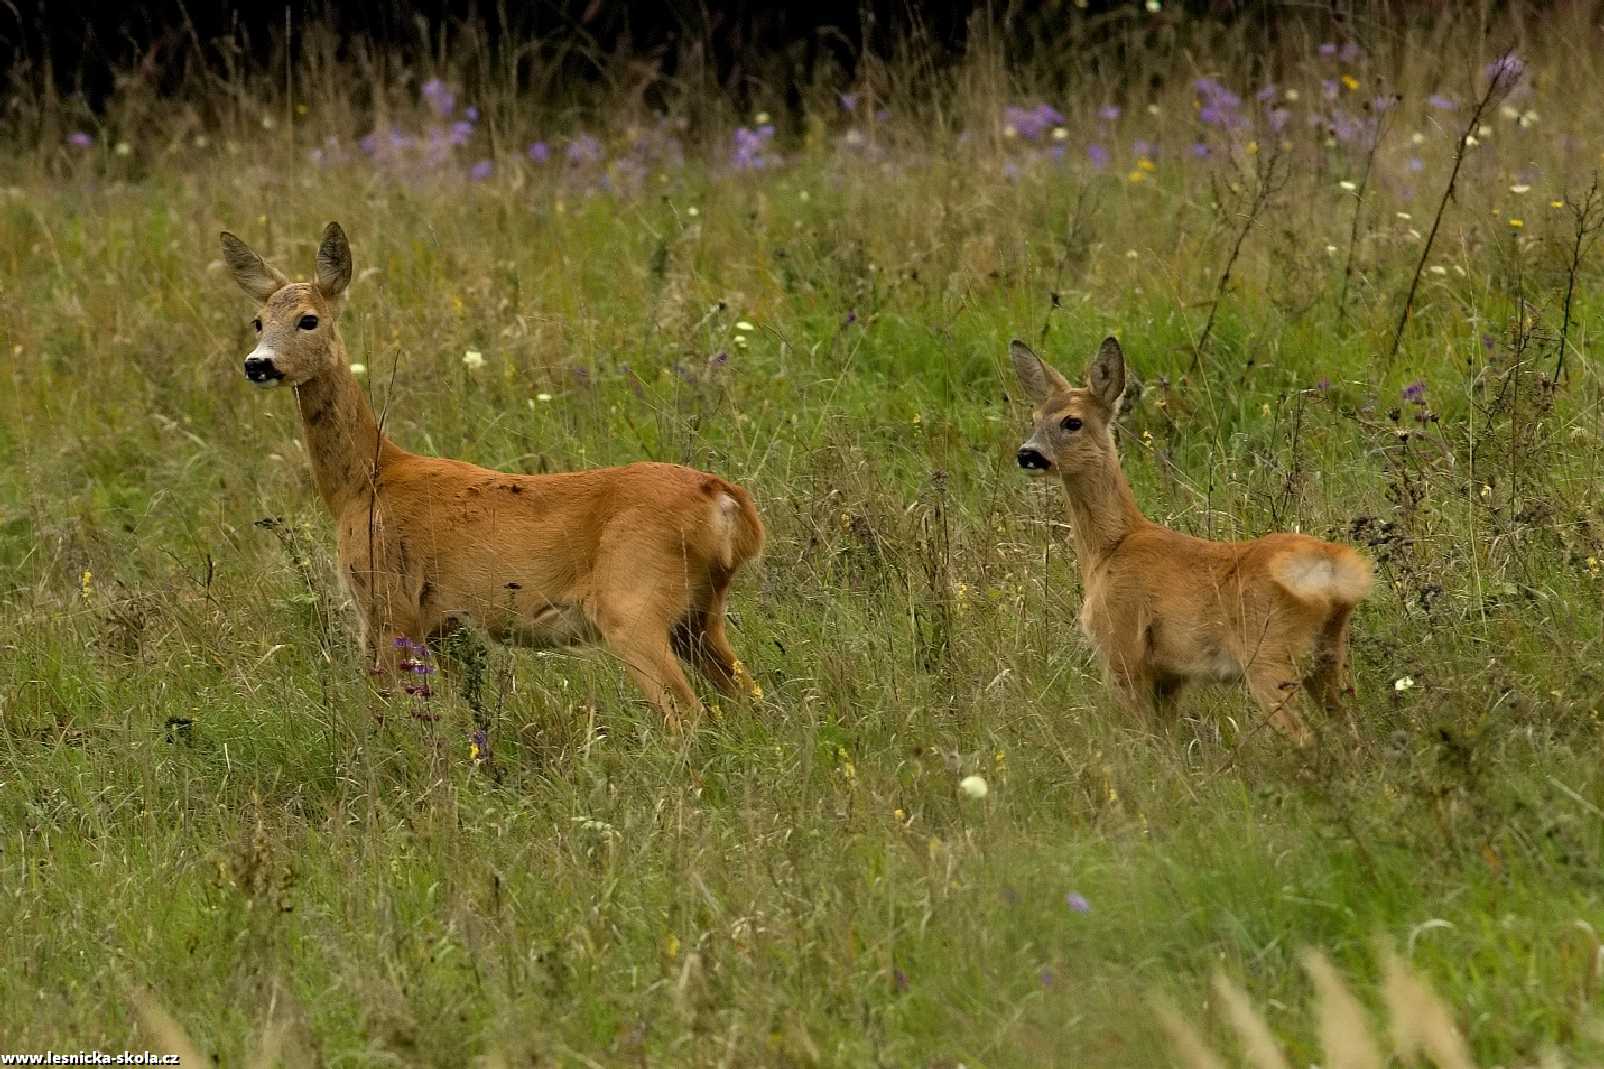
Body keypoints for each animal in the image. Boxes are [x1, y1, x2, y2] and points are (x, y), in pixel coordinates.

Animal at [222, 221, 766, 728]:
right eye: (257, 321)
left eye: (308, 319)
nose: (257, 364)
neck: (365, 482)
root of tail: (726, 500)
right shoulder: (446, 627)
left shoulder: (388, 603)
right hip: (699, 615)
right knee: (748, 696)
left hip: (633, 603)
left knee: (687, 713)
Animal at [1007, 333, 1373, 741]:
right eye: (1034, 419)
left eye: (1072, 422)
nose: (1027, 454)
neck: (1110, 549)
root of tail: (1333, 567)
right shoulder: (1172, 674)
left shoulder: (1121, 644)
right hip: (1329, 655)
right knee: (1352, 730)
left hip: (1270, 652)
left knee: (1305, 735)